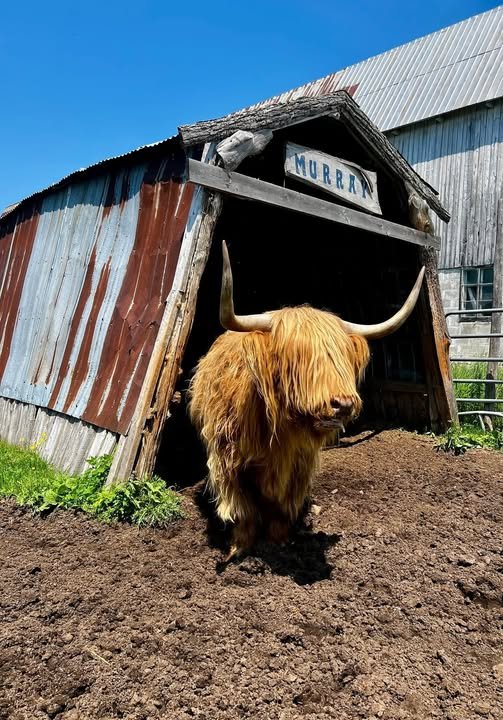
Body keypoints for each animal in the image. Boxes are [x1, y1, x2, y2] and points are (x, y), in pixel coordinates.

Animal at [189, 241, 425, 559]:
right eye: (295, 356)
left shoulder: (299, 463)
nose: (343, 404)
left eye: (341, 356)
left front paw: (279, 542)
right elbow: (244, 508)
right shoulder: (228, 460)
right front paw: (239, 547)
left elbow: (281, 506)